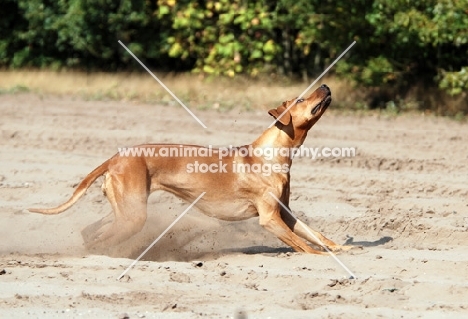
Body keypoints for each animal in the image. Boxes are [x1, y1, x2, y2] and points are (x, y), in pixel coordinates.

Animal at [30, 85, 352, 255]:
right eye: (300, 98)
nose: (326, 86)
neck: (272, 154)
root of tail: (115, 157)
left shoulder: (285, 214)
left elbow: (315, 234)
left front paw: (342, 249)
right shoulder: (270, 219)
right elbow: (302, 244)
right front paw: (319, 257)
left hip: (125, 208)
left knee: (90, 231)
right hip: (133, 216)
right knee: (100, 240)